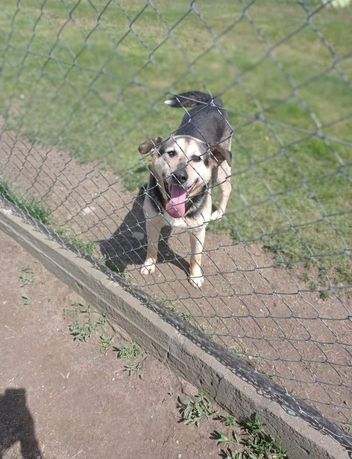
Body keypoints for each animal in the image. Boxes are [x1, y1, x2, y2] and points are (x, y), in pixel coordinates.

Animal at [138, 91, 234, 290]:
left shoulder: (198, 230)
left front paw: (195, 276)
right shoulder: (152, 221)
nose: (180, 176)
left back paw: (219, 212)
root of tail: (212, 102)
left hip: (223, 166)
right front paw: (149, 265)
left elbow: (196, 257)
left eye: (197, 158)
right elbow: (152, 246)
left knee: (228, 187)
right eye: (171, 153)